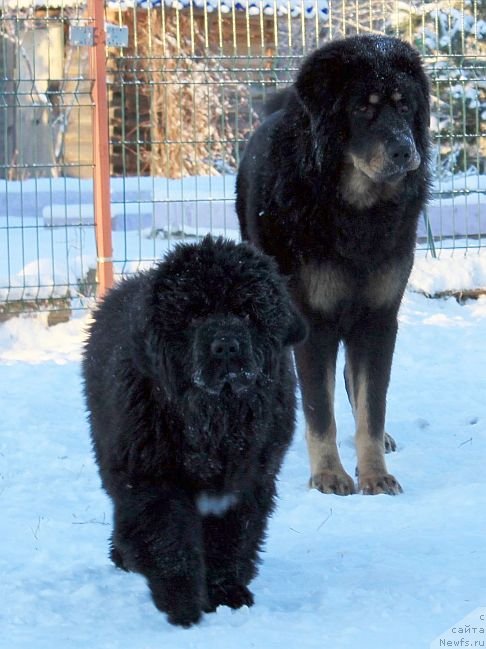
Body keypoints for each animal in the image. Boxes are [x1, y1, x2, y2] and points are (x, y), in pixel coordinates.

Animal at [81, 235, 306, 624]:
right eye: (195, 314)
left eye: (247, 312)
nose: (226, 344)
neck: (215, 420)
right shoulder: (152, 477)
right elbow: (168, 540)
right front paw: (182, 603)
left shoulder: (248, 481)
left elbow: (232, 540)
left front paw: (227, 594)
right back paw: (126, 557)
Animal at [237, 34, 430, 496]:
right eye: (363, 109)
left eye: (405, 106)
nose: (405, 149)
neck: (356, 212)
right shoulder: (314, 321)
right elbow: (318, 412)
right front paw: (328, 475)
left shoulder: (378, 319)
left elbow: (371, 409)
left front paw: (374, 475)